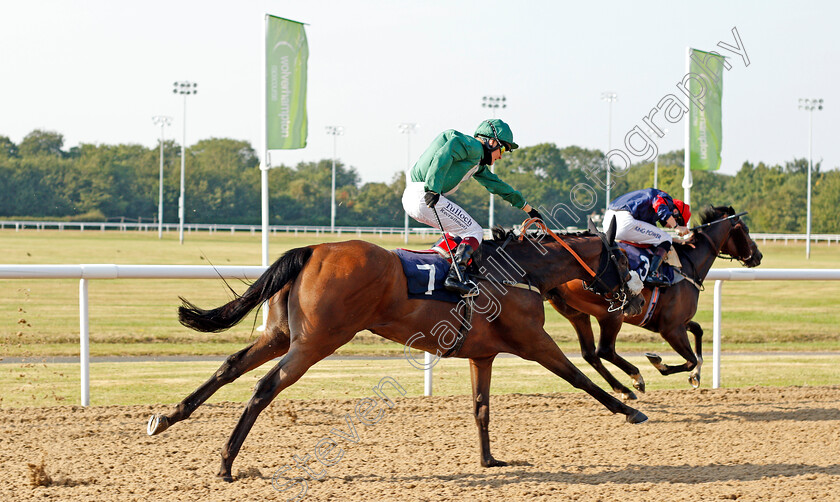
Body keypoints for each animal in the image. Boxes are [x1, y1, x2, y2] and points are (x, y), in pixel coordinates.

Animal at [146, 221, 648, 482]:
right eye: (624, 259)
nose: (636, 299)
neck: (521, 270)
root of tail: (313, 249)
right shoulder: (534, 341)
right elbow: (579, 377)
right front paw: (630, 407)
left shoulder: (482, 355)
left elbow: (481, 407)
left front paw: (489, 461)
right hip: (318, 341)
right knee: (266, 386)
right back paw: (226, 461)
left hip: (281, 335)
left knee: (231, 366)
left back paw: (166, 418)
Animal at [544, 205, 760, 400]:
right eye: (745, 229)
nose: (758, 256)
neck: (686, 265)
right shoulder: (671, 329)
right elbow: (689, 360)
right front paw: (659, 362)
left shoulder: (676, 322)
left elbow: (698, 331)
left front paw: (696, 375)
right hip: (611, 313)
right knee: (604, 350)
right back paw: (636, 378)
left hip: (577, 313)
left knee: (590, 353)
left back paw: (623, 389)